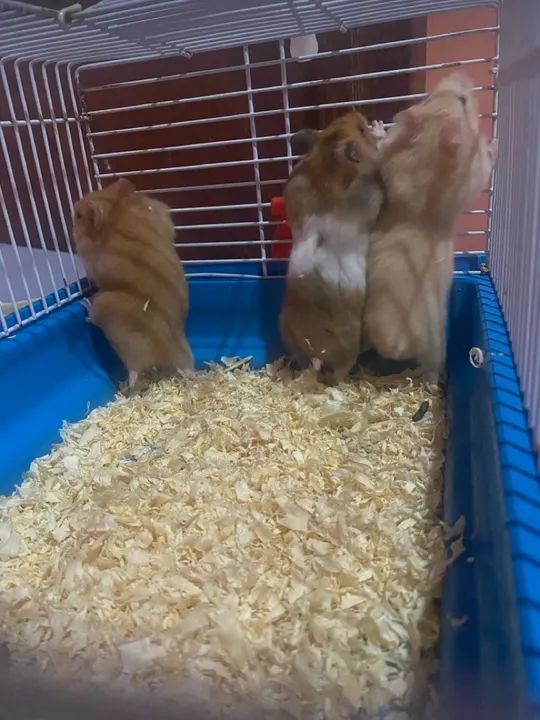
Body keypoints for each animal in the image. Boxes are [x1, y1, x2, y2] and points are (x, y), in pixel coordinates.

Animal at [73, 178, 193, 387]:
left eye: (79, 215)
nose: (73, 207)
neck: (118, 213)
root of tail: (172, 351)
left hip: (105, 304)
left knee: (133, 369)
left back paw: (85, 305)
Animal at [279, 111, 384, 385]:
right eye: (360, 129)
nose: (357, 113)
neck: (329, 163)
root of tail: (316, 351)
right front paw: (379, 128)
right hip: (349, 350)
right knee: (340, 372)